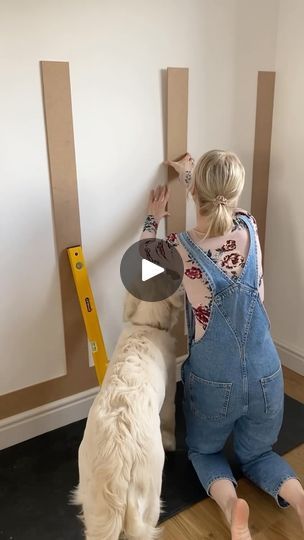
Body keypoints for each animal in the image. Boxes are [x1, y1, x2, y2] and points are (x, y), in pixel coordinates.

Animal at [74, 294, 182, 536]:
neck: (146, 326)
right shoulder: (170, 390)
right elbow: (169, 419)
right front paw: (172, 442)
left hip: (94, 506)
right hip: (149, 496)